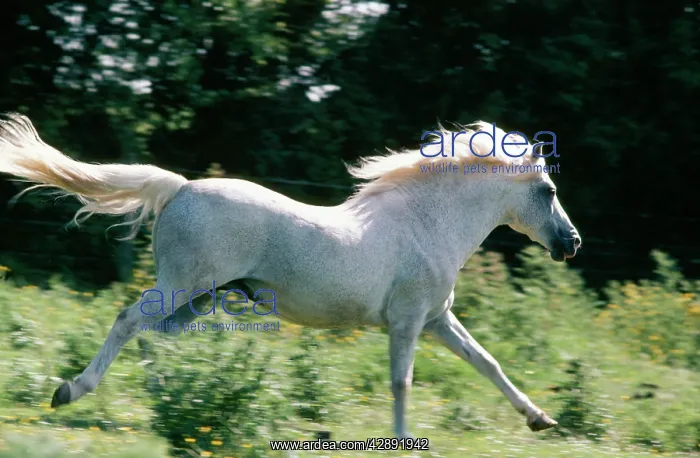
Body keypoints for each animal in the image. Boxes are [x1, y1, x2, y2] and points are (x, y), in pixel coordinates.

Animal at [0, 113, 581, 438]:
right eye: (549, 191)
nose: (571, 243)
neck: (427, 223)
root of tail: (181, 187)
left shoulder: (436, 319)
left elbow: (488, 363)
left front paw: (539, 419)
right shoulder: (408, 322)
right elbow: (401, 382)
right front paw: (403, 442)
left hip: (199, 298)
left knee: (150, 337)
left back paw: (164, 403)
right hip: (183, 286)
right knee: (127, 321)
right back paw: (71, 391)